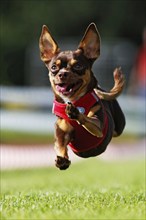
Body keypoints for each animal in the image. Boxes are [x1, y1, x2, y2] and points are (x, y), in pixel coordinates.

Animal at [39, 22, 125, 170]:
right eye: (54, 67)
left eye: (78, 66)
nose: (62, 73)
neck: (75, 101)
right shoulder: (61, 134)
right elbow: (60, 147)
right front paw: (62, 160)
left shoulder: (98, 128)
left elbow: (87, 119)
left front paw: (76, 113)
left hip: (119, 127)